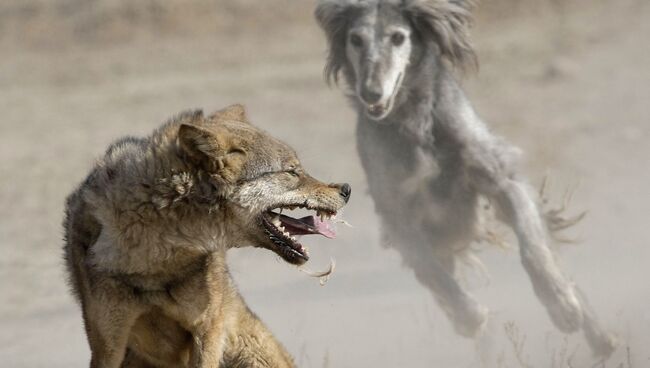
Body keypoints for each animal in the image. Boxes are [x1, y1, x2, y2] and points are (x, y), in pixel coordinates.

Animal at [316, 0, 616, 356]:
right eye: (356, 39)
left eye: (398, 37)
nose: (371, 93)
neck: (413, 121)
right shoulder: (398, 219)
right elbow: (437, 277)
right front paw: (469, 316)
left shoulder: (501, 181)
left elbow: (533, 250)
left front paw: (560, 304)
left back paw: (598, 333)